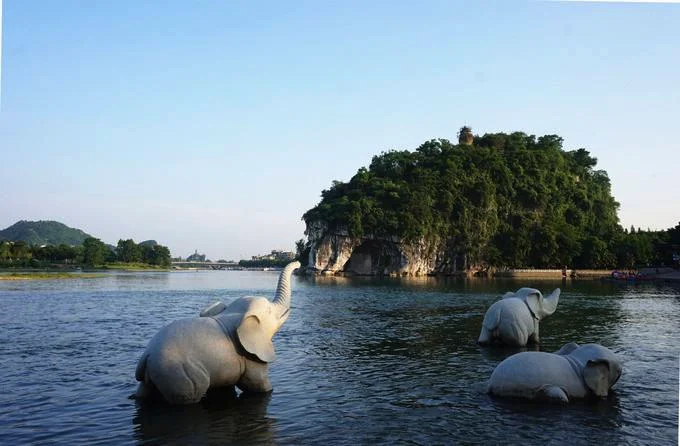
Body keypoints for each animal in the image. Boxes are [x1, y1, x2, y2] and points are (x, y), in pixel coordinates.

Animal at [134, 262, 298, 404]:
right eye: (270, 311)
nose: (298, 263)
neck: (234, 315)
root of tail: (147, 356)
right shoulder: (250, 355)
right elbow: (257, 385)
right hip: (180, 375)